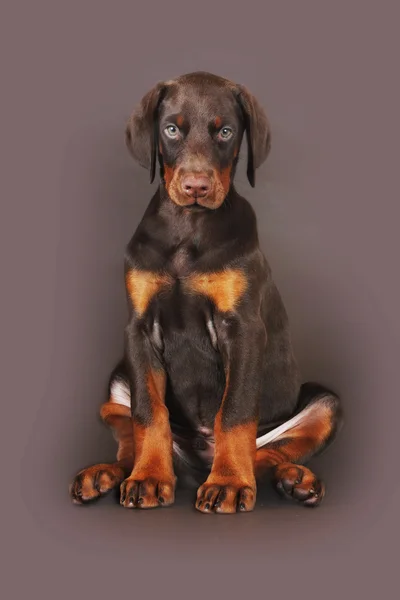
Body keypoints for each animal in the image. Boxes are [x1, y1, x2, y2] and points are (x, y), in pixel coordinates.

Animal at [69, 69, 344, 510]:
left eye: (226, 132)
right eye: (171, 129)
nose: (196, 186)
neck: (189, 226)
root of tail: (200, 459)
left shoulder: (243, 328)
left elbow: (234, 413)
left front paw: (229, 483)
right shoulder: (138, 329)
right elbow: (149, 414)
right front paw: (149, 477)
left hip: (323, 403)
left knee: (268, 453)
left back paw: (292, 478)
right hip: (115, 385)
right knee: (127, 432)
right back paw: (106, 474)